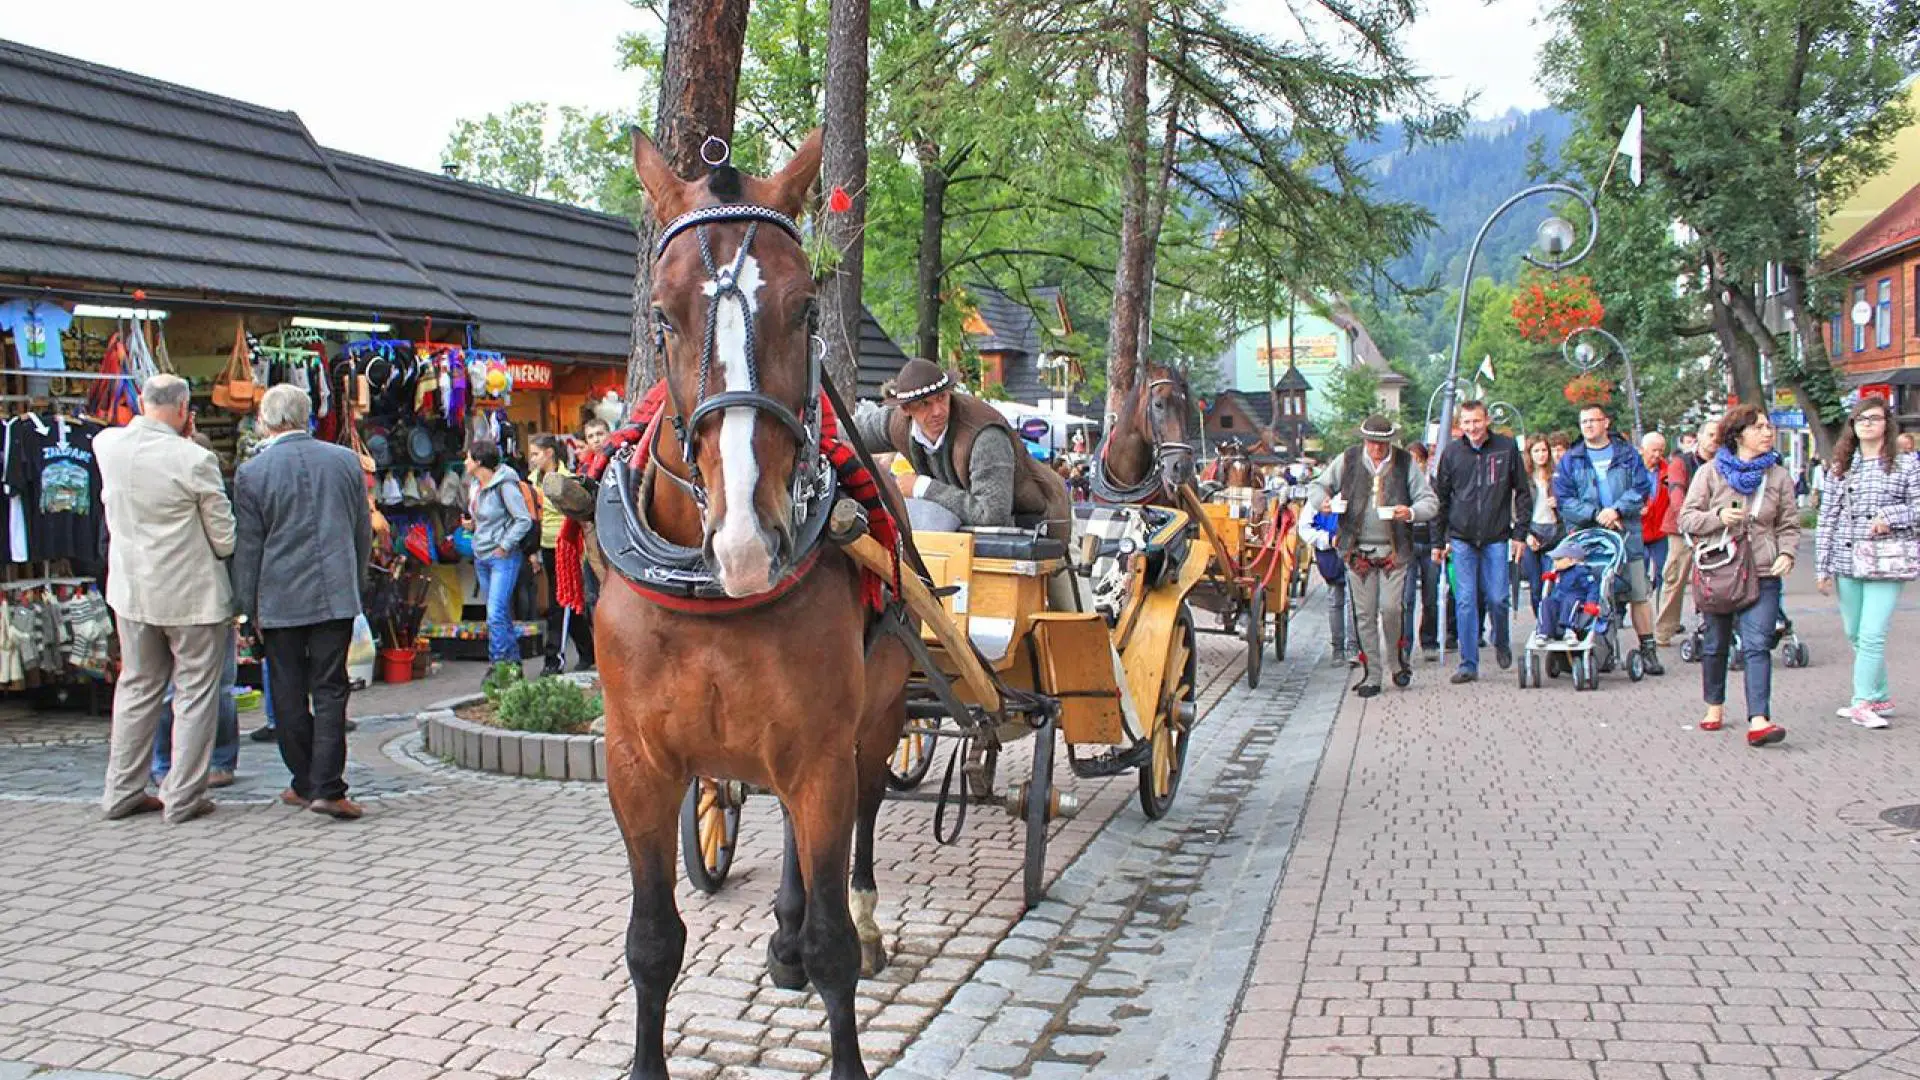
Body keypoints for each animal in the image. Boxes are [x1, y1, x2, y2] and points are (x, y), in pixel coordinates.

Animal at [606, 127, 913, 1076]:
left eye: (808, 310)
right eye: (662, 317)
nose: (748, 534)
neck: (713, 598)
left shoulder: (820, 749)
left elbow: (833, 950)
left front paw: (834, 952)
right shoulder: (636, 764)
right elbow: (652, 943)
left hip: (876, 718)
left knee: (861, 817)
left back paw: (858, 913)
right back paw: (780, 932)